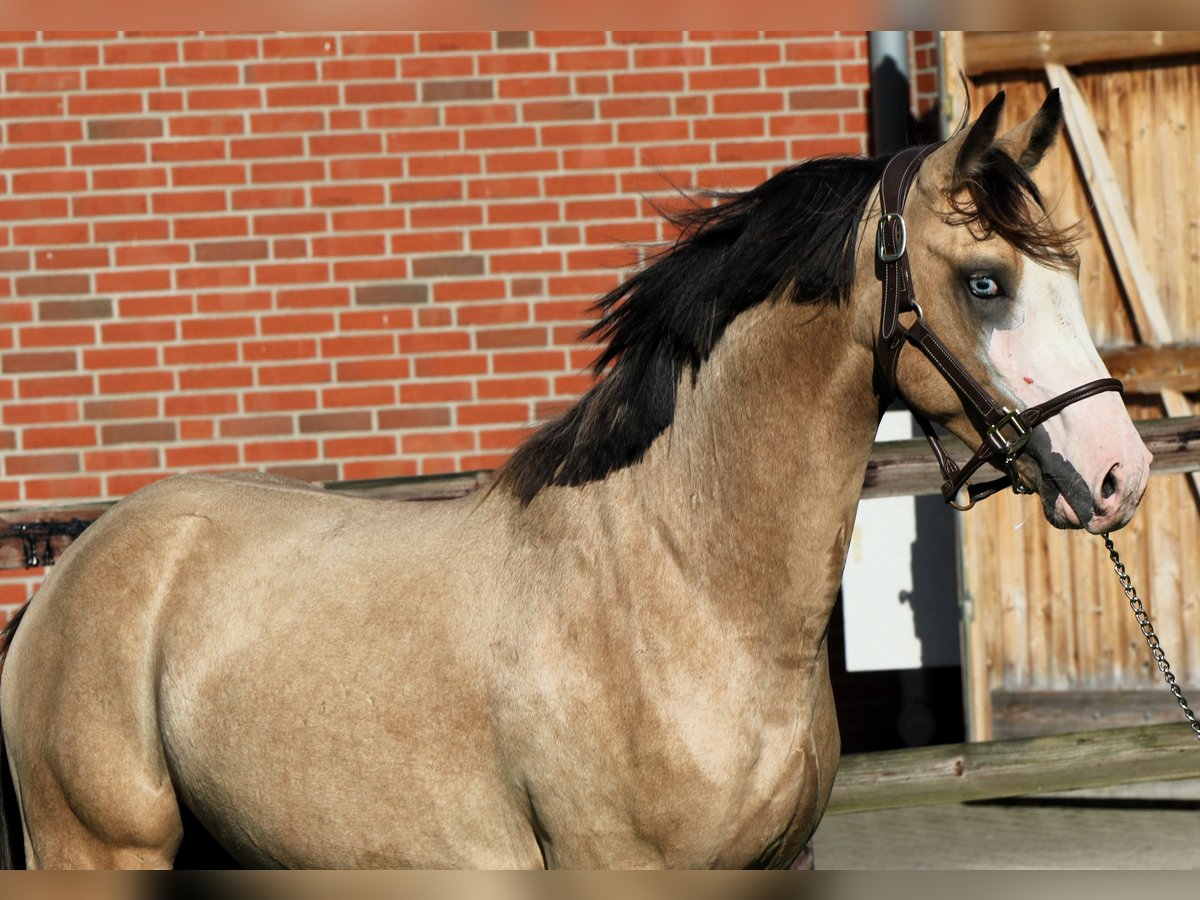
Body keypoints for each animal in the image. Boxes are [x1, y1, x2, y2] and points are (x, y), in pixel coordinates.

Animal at [0, 90, 1152, 868]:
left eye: (1067, 271)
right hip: (97, 855)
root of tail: (66, 579)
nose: (1118, 472)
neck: (680, 589)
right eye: (986, 282)